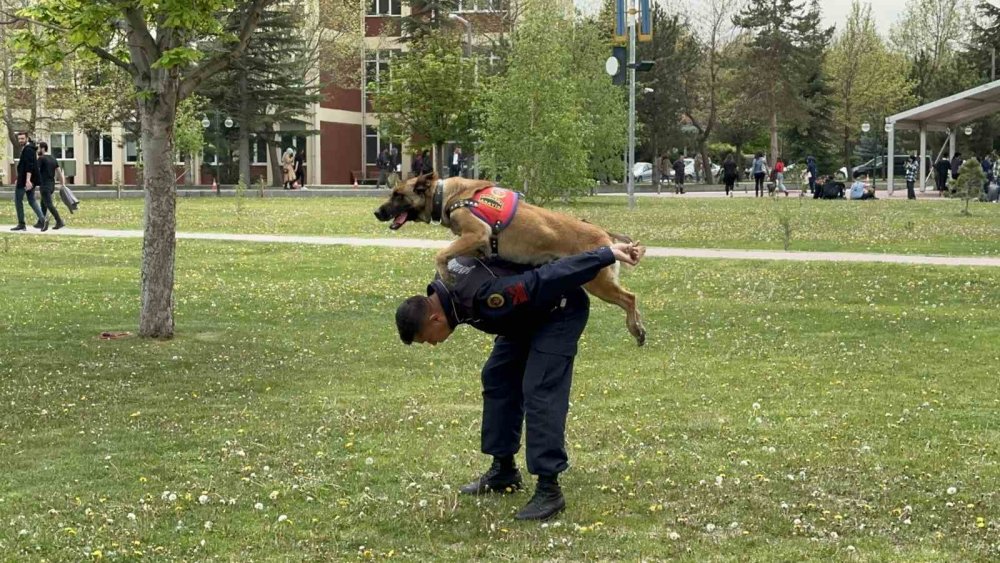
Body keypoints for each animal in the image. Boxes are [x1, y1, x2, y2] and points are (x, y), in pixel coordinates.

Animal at [376, 174, 648, 346]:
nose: (377, 212)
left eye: (398, 195)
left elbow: (441, 253)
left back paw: (635, 328)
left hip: (599, 283)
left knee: (630, 298)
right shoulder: (477, 245)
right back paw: (638, 328)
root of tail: (605, 234)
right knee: (630, 299)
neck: (447, 195)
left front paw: (446, 275)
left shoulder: (477, 233)